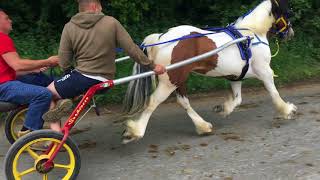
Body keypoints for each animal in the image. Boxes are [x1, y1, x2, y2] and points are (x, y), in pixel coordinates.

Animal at [122, 0, 296, 143]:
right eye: (288, 12)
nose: (290, 33)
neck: (251, 34)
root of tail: (159, 38)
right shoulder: (264, 71)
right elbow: (274, 93)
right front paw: (287, 110)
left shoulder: (236, 76)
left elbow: (237, 99)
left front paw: (223, 109)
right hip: (170, 81)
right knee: (153, 102)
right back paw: (135, 131)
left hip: (178, 80)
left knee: (183, 102)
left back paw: (203, 126)